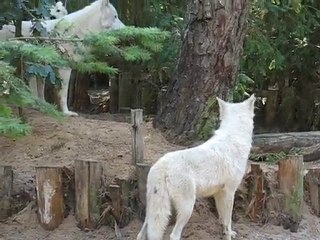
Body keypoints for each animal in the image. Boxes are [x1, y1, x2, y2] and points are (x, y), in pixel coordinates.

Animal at [136, 94, 256, 239]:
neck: (234, 136)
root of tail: (163, 165)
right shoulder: (229, 192)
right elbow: (228, 221)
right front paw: (228, 235)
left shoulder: (219, 193)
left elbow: (222, 219)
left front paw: (228, 232)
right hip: (188, 208)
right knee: (173, 235)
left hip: (153, 209)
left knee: (141, 233)